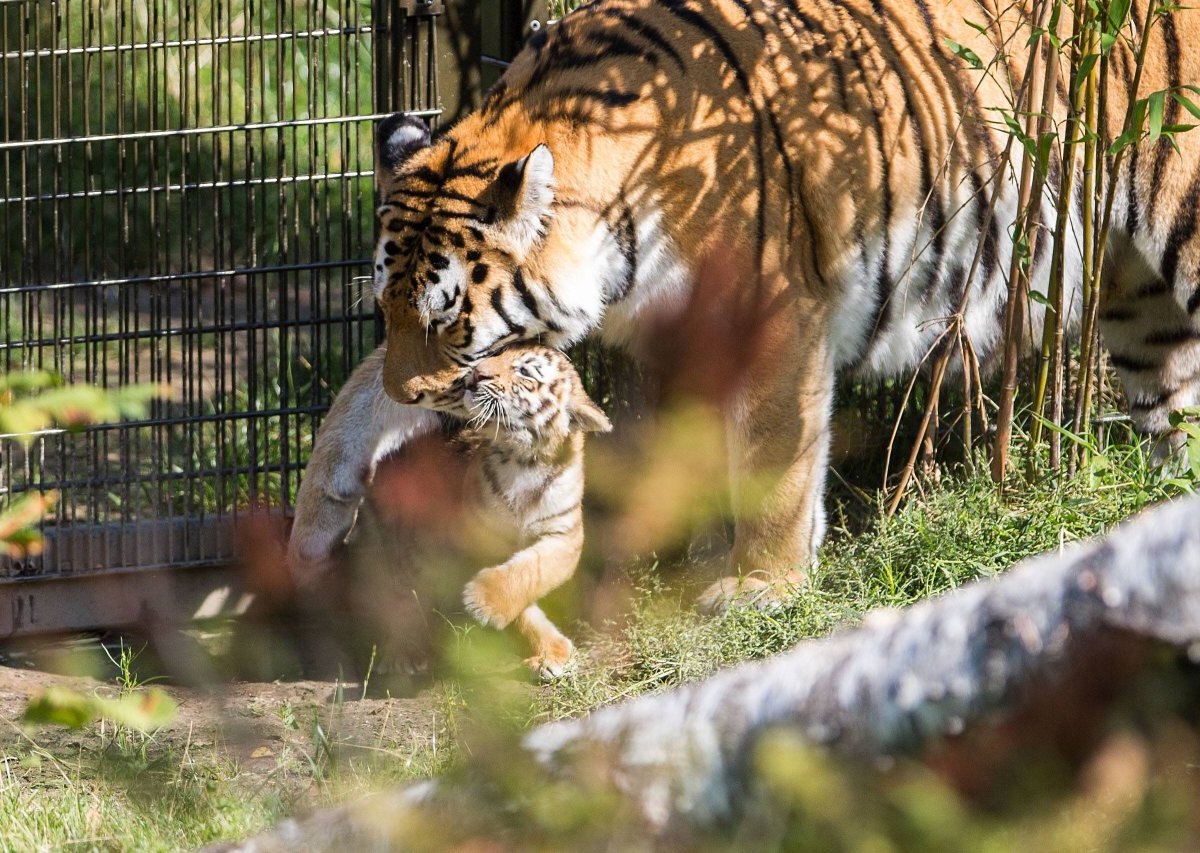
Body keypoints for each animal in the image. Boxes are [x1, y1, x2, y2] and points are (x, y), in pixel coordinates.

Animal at [290, 0, 1200, 609]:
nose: (417, 391)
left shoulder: (774, 313)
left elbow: (771, 456)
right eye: (388, 310)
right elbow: (361, 393)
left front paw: (762, 583)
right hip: (1141, 301)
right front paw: (316, 517)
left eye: (448, 321)